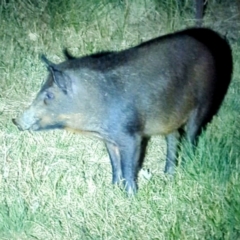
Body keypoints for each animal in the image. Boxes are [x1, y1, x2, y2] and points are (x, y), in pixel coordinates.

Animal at [12, 28, 232, 194]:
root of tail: (207, 47)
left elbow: (128, 166)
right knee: (174, 137)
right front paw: (112, 189)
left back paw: (185, 168)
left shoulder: (131, 135)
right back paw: (168, 175)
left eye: (49, 95)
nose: (15, 121)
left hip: (204, 103)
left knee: (191, 136)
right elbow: (114, 163)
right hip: (170, 117)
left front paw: (130, 197)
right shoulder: (110, 138)